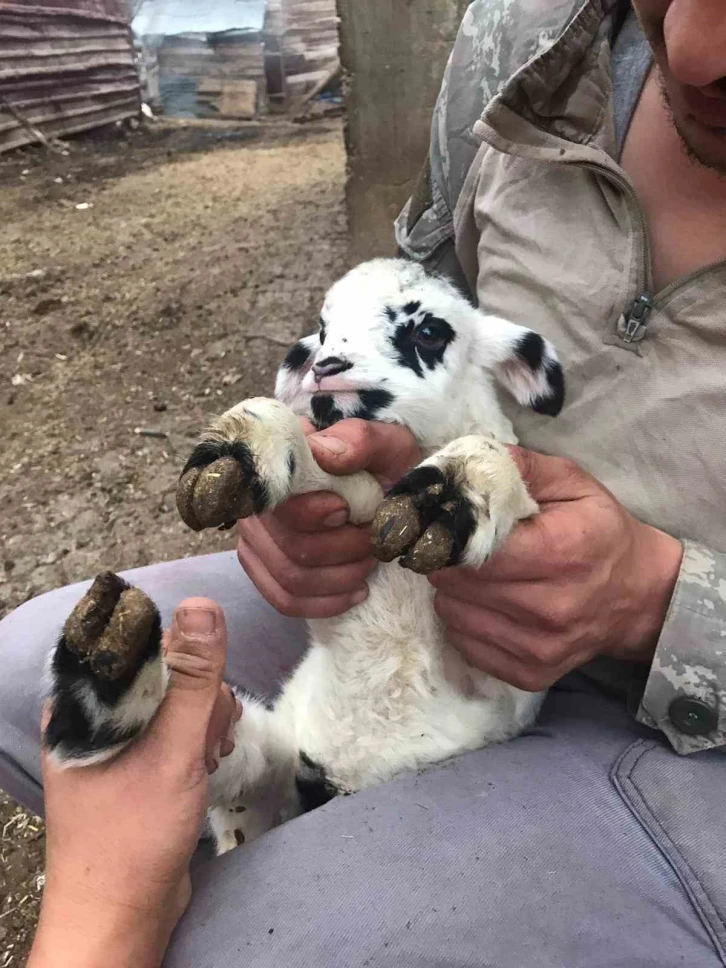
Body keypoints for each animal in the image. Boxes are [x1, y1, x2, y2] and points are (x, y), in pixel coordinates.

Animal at [44, 260, 568, 856]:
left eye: (430, 331)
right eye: (323, 327)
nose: (327, 368)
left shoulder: (504, 687)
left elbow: (497, 464)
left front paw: (449, 495)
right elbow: (333, 471)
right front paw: (237, 453)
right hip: (264, 752)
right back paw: (105, 661)